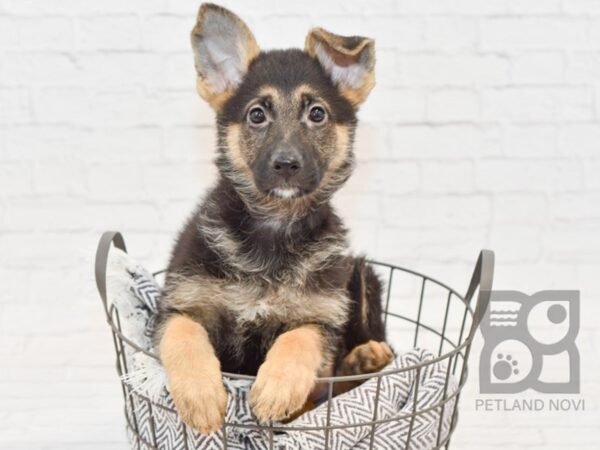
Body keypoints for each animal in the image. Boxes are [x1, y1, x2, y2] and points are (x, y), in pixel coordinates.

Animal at [152, 1, 392, 434]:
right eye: (257, 115)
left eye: (317, 114)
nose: (286, 165)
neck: (273, 229)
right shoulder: (178, 303)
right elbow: (183, 334)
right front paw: (200, 396)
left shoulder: (320, 317)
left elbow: (299, 339)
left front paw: (277, 389)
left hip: (362, 276)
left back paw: (366, 357)